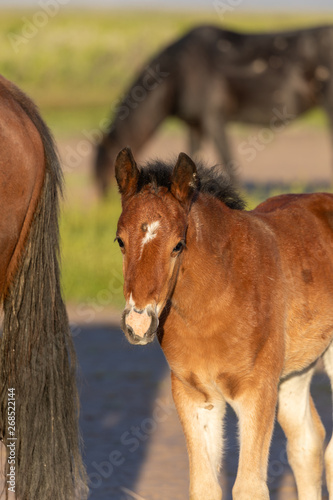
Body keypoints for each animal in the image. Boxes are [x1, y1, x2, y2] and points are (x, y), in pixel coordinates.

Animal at [94, 24, 332, 193]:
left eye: (101, 168)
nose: (102, 204)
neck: (179, 73)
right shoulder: (195, 124)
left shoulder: (213, 118)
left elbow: (228, 160)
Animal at [115, 146, 333, 500]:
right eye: (120, 241)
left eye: (178, 244)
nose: (138, 323)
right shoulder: (195, 396)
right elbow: (204, 487)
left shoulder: (257, 391)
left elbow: (249, 487)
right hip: (295, 370)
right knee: (306, 443)